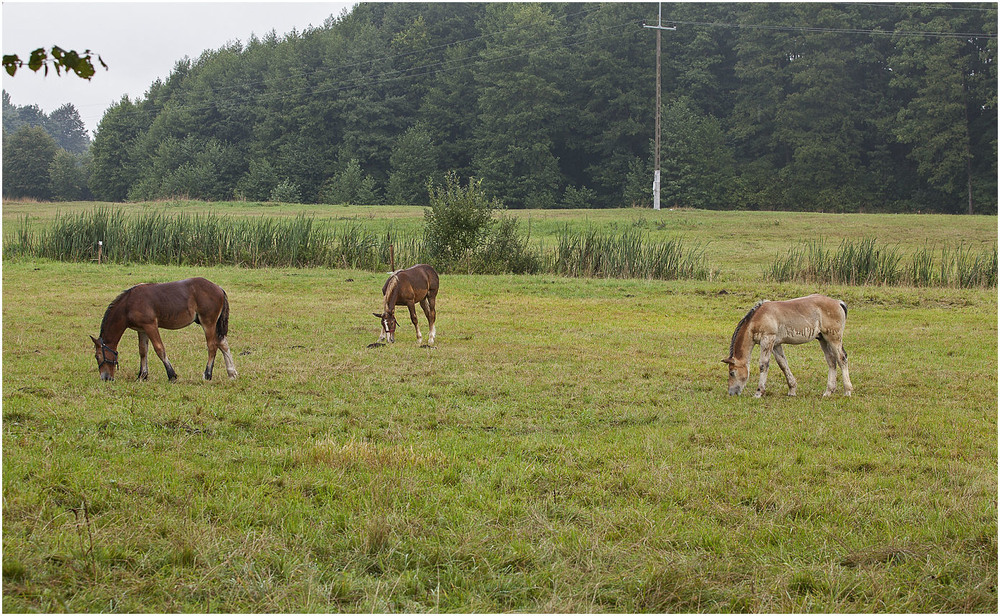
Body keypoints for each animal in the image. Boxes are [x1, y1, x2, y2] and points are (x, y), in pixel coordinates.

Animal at [90, 278, 238, 380]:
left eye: (97, 356)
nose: (105, 378)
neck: (128, 304)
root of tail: (219, 288)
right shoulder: (141, 329)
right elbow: (143, 351)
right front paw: (142, 375)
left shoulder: (150, 325)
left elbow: (159, 349)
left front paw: (171, 375)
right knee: (223, 343)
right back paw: (232, 373)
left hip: (208, 323)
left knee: (212, 346)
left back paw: (207, 374)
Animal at [724, 294, 856, 400]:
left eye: (732, 373)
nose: (731, 393)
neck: (759, 317)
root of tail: (839, 302)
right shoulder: (776, 344)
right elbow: (783, 364)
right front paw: (792, 390)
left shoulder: (767, 340)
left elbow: (763, 365)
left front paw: (758, 393)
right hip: (823, 339)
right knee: (831, 361)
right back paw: (828, 392)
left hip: (833, 339)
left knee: (842, 359)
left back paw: (847, 391)